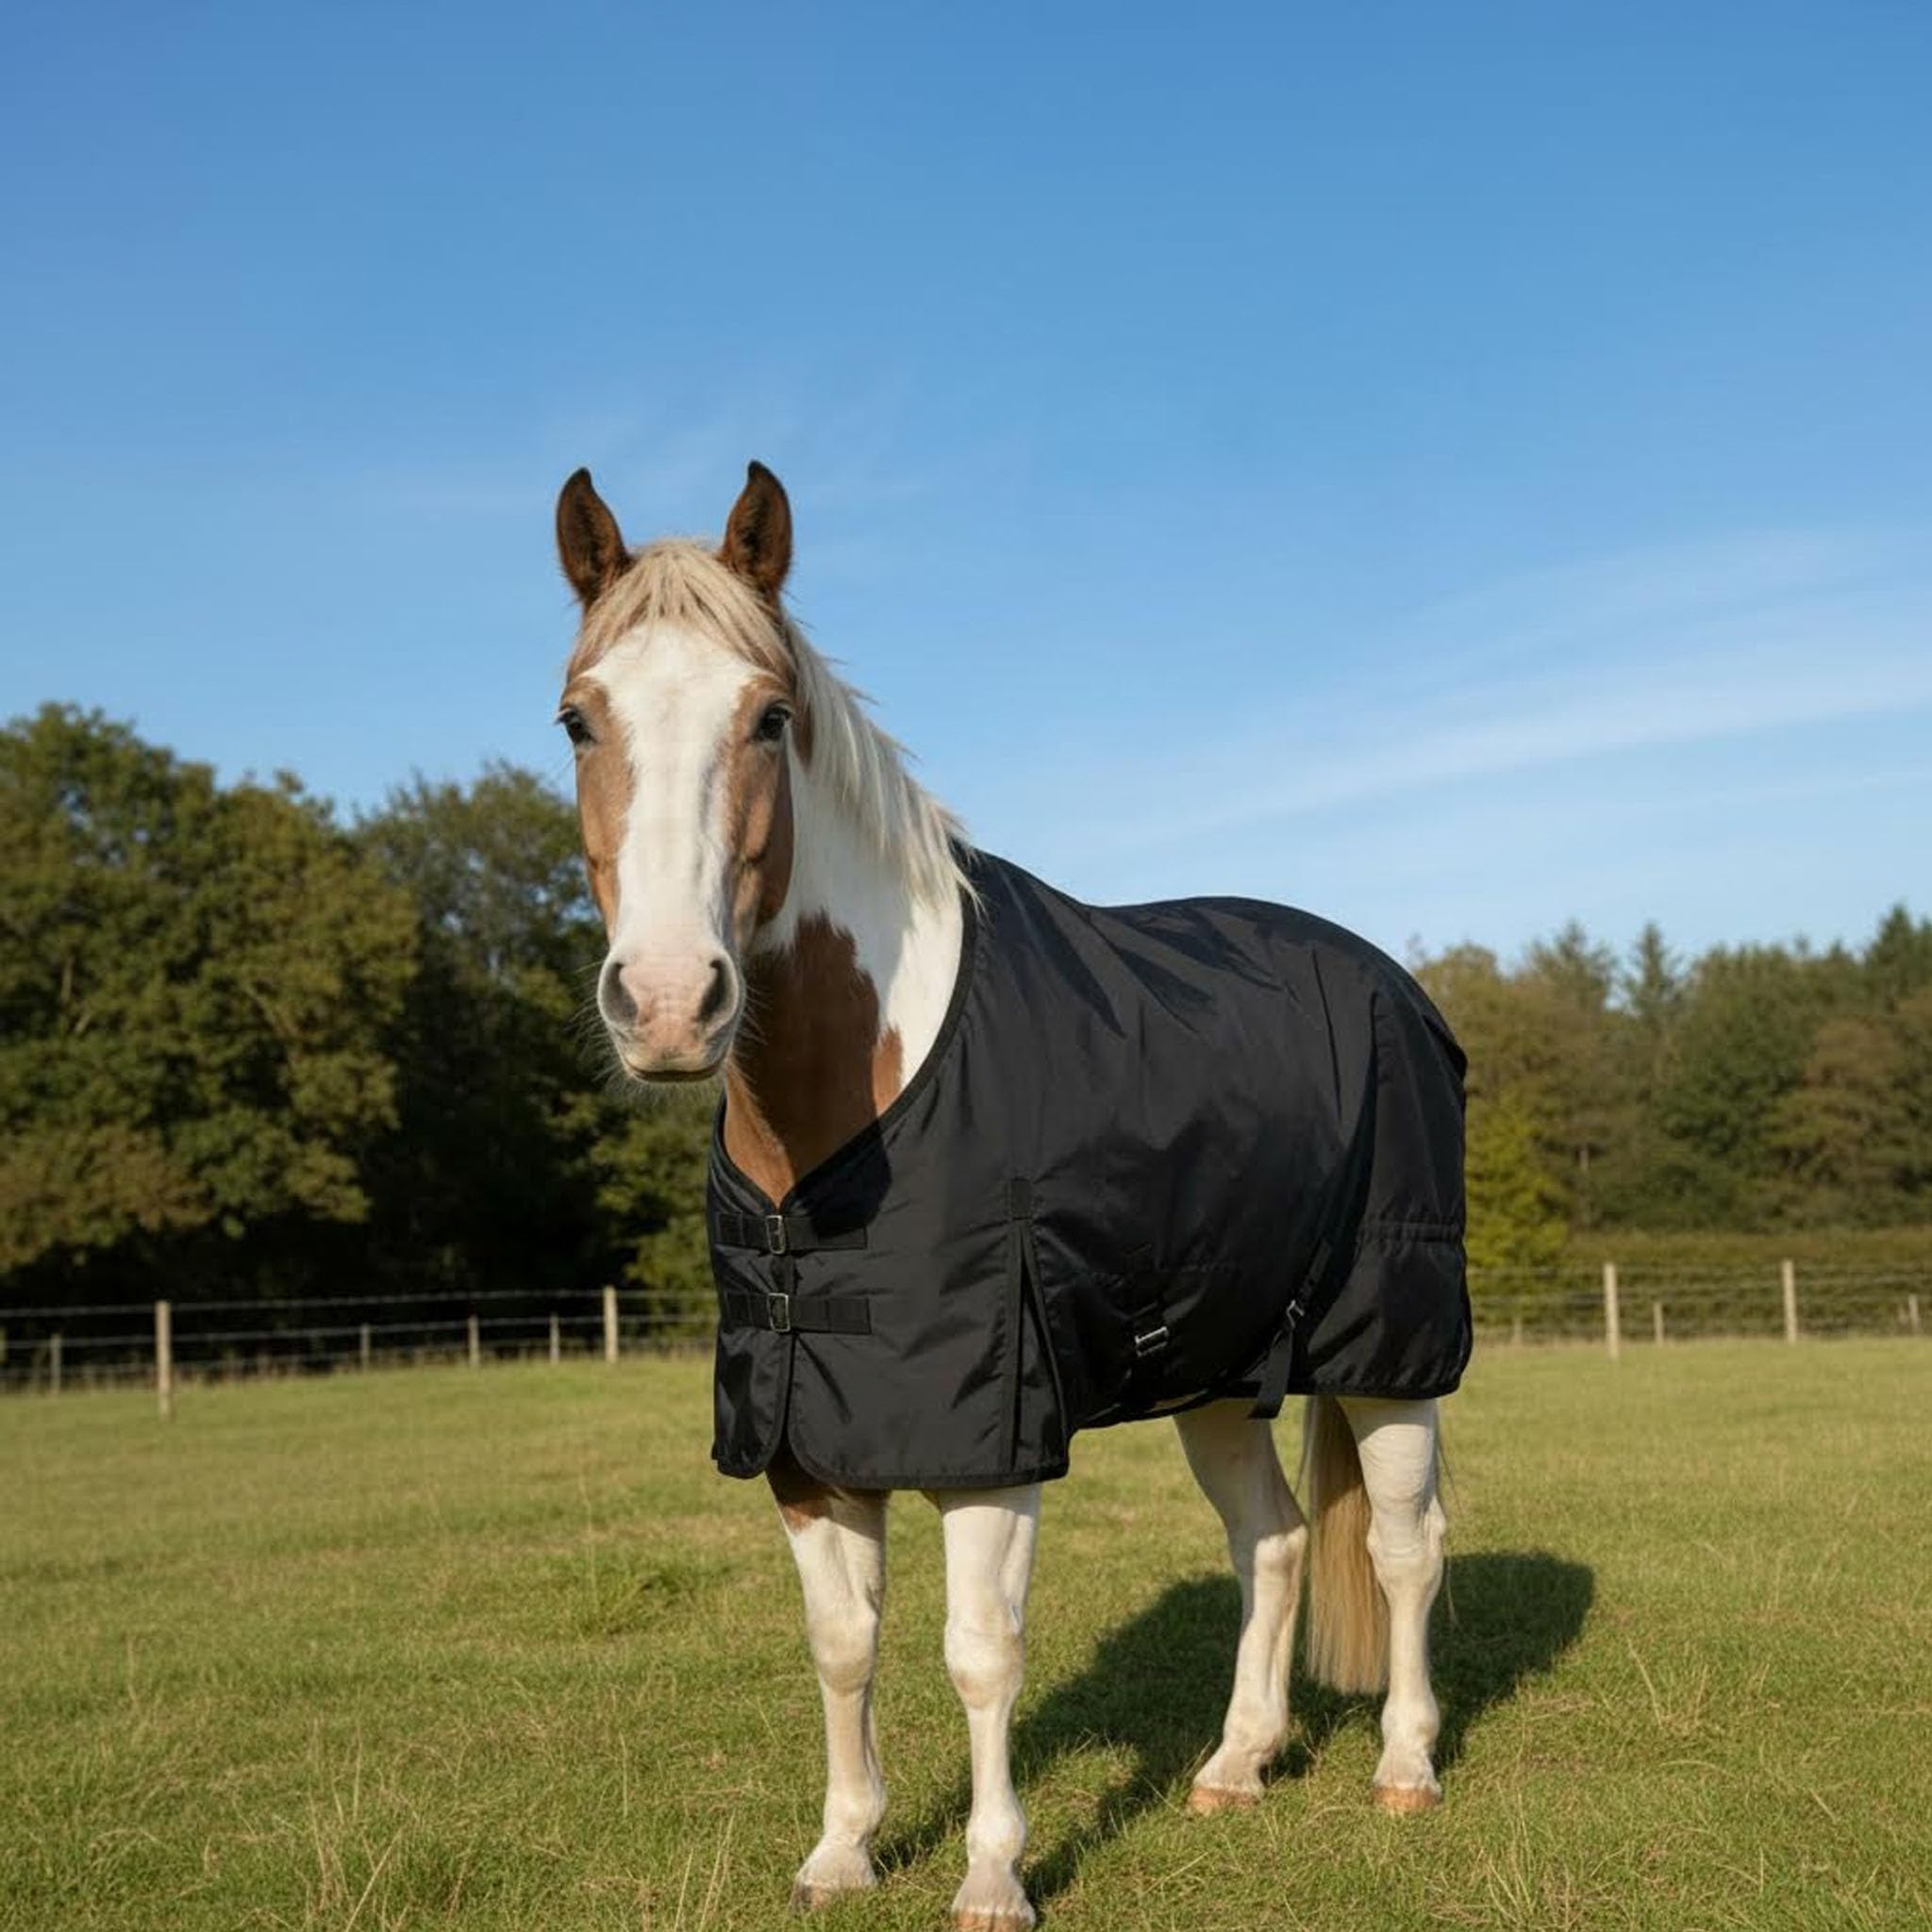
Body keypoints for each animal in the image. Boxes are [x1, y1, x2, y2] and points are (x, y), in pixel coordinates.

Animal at [552, 460, 1464, 1931]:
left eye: (769, 717)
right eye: (581, 718)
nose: (673, 1003)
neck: (848, 1113)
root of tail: (1392, 980)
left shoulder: (990, 1433)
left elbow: (980, 1650)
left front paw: (991, 1873)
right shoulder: (805, 1442)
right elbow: (843, 1641)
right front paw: (844, 1848)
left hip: (1392, 1348)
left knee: (1400, 1547)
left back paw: (1405, 1766)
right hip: (1217, 1364)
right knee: (1269, 1543)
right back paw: (1234, 1763)